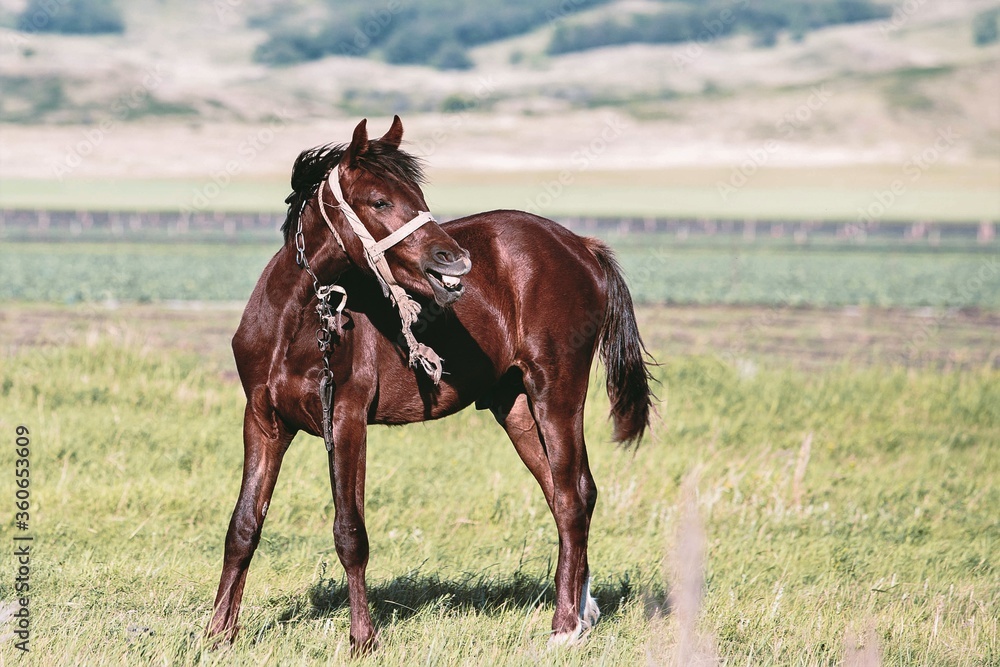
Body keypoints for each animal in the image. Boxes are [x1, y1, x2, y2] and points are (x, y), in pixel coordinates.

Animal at [207, 117, 652, 656]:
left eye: (417, 194)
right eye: (379, 200)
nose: (455, 260)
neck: (296, 326)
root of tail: (581, 246)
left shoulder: (347, 418)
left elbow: (350, 532)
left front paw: (363, 639)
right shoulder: (264, 421)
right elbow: (244, 526)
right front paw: (217, 633)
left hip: (557, 392)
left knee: (572, 495)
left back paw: (564, 627)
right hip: (516, 407)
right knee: (566, 494)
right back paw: (582, 614)